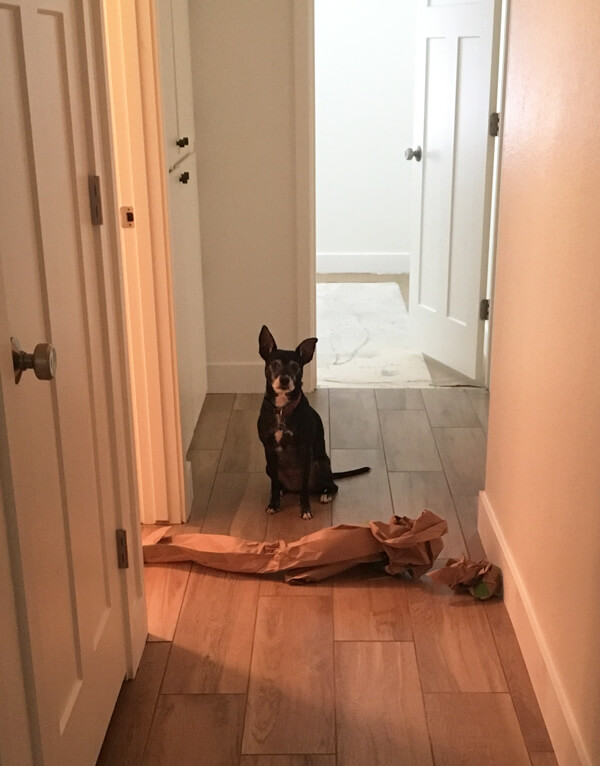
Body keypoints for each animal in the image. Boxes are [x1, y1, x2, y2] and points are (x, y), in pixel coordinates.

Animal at [255, 328, 368, 520]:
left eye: (295, 366)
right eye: (274, 364)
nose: (284, 380)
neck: (282, 410)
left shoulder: (305, 451)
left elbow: (304, 487)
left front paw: (305, 509)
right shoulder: (268, 449)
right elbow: (274, 485)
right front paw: (273, 504)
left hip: (319, 465)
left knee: (331, 486)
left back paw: (325, 494)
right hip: (269, 467)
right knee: (280, 484)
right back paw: (282, 492)